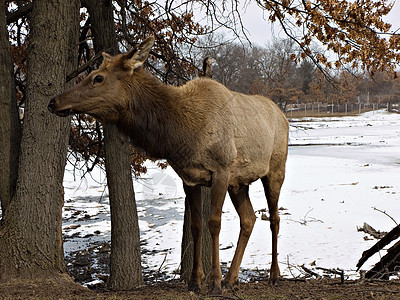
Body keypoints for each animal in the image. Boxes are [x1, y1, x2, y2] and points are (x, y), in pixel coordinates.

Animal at [48, 36, 288, 294]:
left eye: (98, 77)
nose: (53, 102)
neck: (183, 134)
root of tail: (283, 115)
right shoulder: (190, 178)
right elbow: (196, 226)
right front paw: (195, 282)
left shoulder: (221, 169)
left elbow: (214, 223)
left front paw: (214, 282)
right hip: (239, 182)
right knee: (249, 219)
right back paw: (232, 278)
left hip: (275, 169)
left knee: (274, 218)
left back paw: (274, 275)